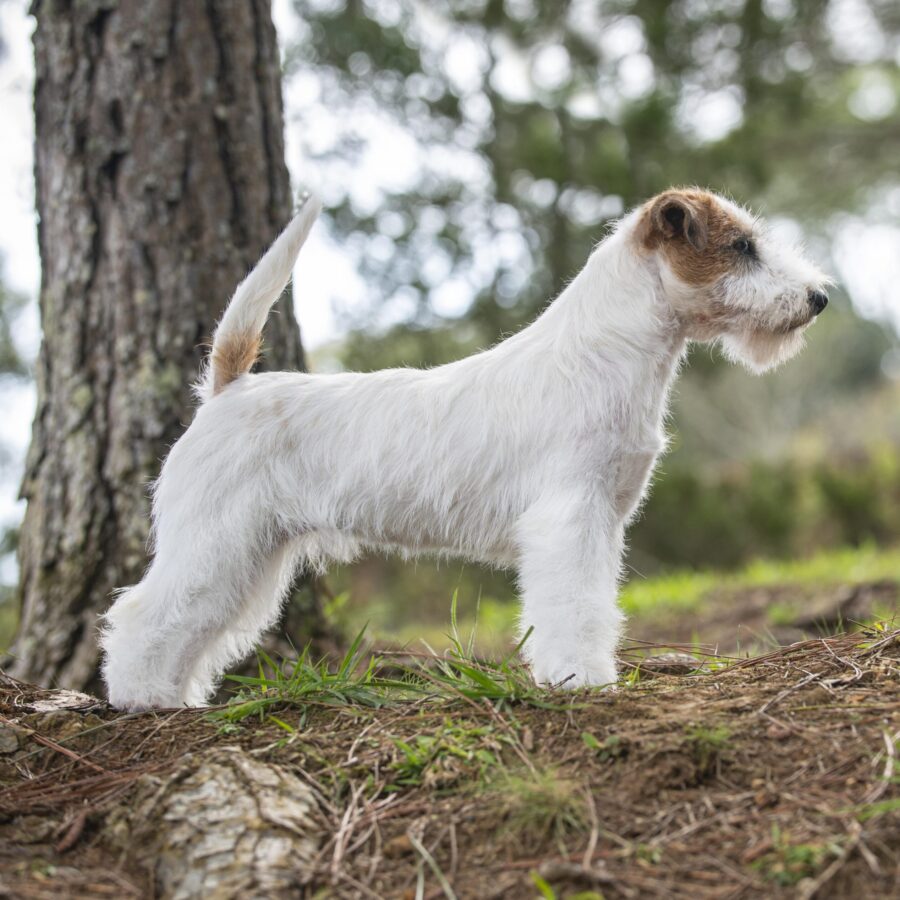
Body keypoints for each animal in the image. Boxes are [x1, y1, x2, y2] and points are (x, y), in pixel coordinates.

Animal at [100, 188, 828, 712]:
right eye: (741, 246)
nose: (820, 297)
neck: (604, 354)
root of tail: (228, 388)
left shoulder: (602, 523)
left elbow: (597, 606)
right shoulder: (569, 521)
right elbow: (575, 610)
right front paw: (581, 681)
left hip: (253, 556)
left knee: (196, 628)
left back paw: (175, 697)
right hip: (215, 542)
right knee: (142, 613)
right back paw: (141, 699)